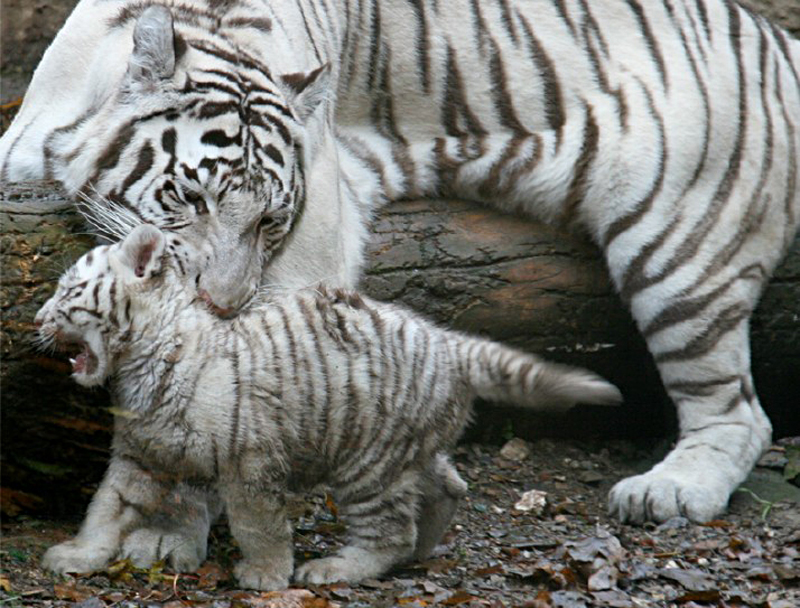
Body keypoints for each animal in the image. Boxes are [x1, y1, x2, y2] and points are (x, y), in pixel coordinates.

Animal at [1, 0, 800, 568]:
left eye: (269, 221)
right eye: (191, 200)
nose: (220, 302)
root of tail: (775, 38)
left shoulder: (305, 255)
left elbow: (221, 399)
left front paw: (165, 532)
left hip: (679, 239)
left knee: (739, 412)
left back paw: (669, 489)